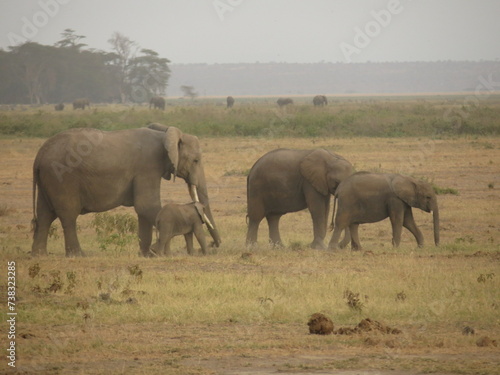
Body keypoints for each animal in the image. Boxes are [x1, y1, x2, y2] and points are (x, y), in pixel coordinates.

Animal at [30, 123, 220, 258]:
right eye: (196, 160)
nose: (215, 245)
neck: (165, 133)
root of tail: (39, 156)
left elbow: (143, 210)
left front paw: (146, 254)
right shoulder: (148, 167)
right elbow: (147, 206)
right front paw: (158, 252)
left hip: (48, 178)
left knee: (45, 215)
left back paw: (40, 255)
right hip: (62, 179)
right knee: (68, 215)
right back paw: (78, 255)